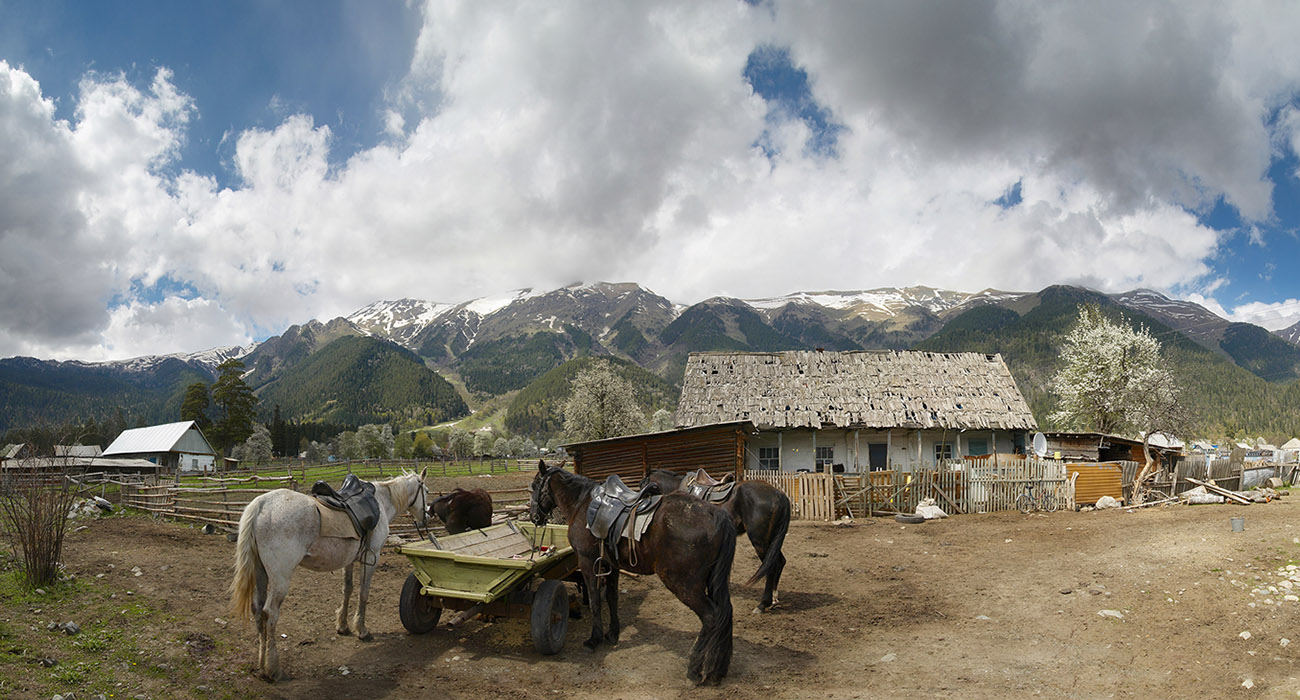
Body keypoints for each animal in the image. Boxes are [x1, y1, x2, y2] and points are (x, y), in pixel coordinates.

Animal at [231, 465, 428, 676]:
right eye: (426, 491)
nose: (427, 517)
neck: (382, 501)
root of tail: (261, 504)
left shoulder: (349, 560)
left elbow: (347, 590)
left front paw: (343, 626)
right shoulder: (371, 558)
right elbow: (363, 593)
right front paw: (362, 630)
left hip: (260, 572)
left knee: (258, 609)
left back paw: (261, 664)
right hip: (280, 578)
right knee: (270, 613)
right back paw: (272, 668)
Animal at [525, 460, 733, 681]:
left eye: (535, 485)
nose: (534, 517)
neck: (581, 504)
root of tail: (717, 514)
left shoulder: (588, 562)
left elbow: (595, 600)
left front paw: (594, 639)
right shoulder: (611, 565)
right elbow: (612, 597)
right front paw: (612, 634)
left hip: (684, 585)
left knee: (711, 617)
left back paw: (695, 668)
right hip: (712, 582)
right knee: (724, 613)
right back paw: (717, 669)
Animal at [642, 468, 785, 608]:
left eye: (643, 485)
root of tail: (779, 494)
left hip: (760, 542)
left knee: (771, 566)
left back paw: (763, 603)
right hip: (772, 541)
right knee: (780, 562)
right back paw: (774, 598)